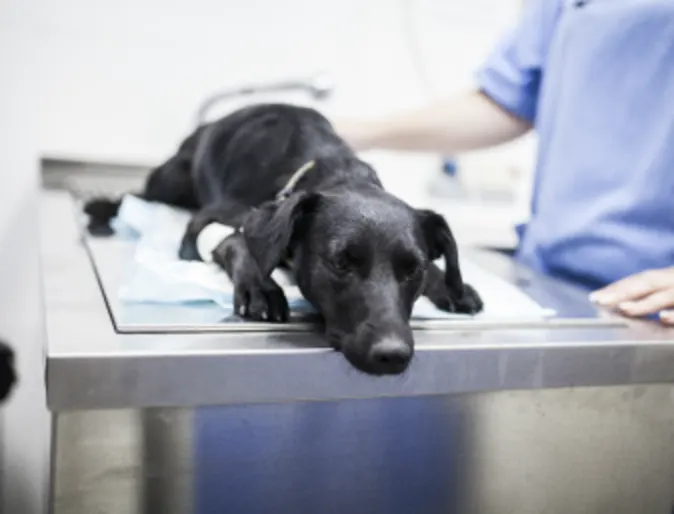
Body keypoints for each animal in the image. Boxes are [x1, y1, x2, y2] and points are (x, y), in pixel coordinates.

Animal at [85, 104, 484, 374]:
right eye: (340, 263)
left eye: (413, 270)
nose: (393, 355)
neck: (331, 169)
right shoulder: (210, 224)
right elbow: (239, 243)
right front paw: (262, 288)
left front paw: (452, 285)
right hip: (170, 179)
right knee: (134, 194)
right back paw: (100, 209)